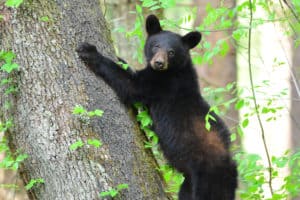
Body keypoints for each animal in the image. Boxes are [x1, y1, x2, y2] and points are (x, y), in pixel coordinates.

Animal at [77, 14, 237, 199]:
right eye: (156, 46)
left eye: (172, 52)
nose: (159, 63)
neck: (174, 71)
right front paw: (121, 58)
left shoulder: (161, 84)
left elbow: (131, 85)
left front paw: (89, 51)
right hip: (189, 181)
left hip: (208, 178)